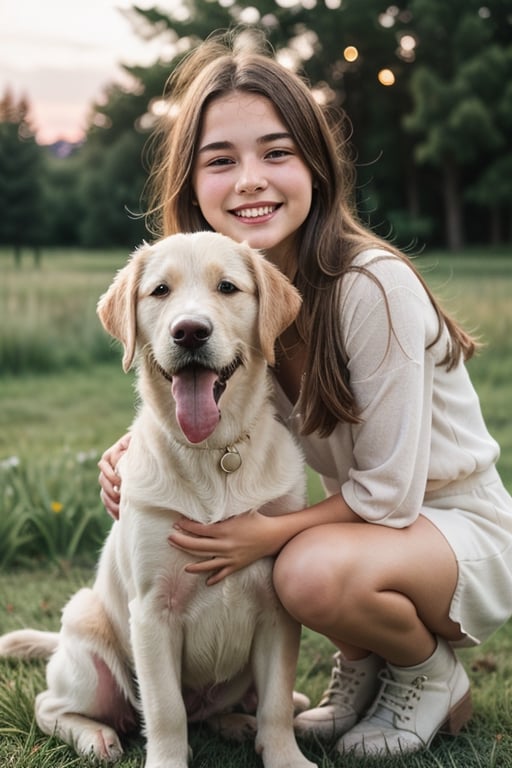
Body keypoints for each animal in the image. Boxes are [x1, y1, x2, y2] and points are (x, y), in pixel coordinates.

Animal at [0, 232, 316, 768]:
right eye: (160, 291)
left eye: (227, 287)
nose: (189, 332)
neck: (214, 454)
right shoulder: (151, 612)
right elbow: (166, 710)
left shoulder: (277, 610)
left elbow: (274, 701)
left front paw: (285, 756)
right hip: (89, 647)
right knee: (51, 705)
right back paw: (96, 736)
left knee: (243, 705)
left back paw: (239, 722)